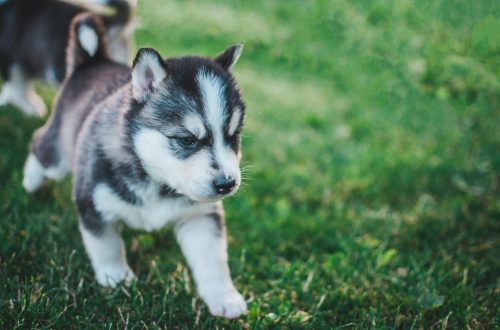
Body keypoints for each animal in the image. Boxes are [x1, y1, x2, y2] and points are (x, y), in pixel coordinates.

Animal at [23, 13, 248, 320]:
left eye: (233, 136)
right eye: (186, 139)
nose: (227, 184)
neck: (154, 179)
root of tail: (94, 61)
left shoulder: (199, 216)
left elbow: (213, 260)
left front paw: (224, 296)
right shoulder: (93, 203)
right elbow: (107, 247)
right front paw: (117, 279)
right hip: (58, 154)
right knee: (39, 144)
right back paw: (30, 181)